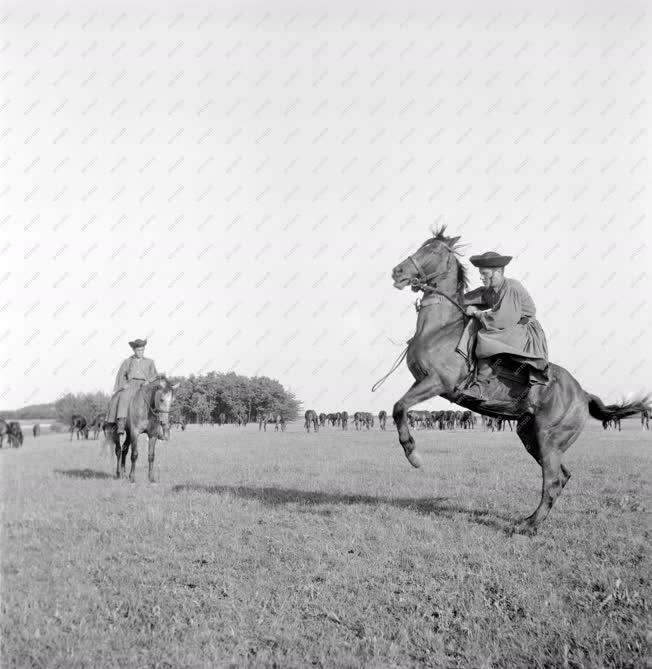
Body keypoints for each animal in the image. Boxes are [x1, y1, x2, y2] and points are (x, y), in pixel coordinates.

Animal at [384, 228, 648, 532]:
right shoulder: (425, 383)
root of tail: (583, 394)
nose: (398, 271)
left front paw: (413, 455)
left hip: (548, 438)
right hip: (532, 437)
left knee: (553, 480)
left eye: (435, 250)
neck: (440, 329)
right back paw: (530, 520)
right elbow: (399, 406)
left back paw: (529, 527)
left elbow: (399, 407)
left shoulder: (437, 383)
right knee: (561, 476)